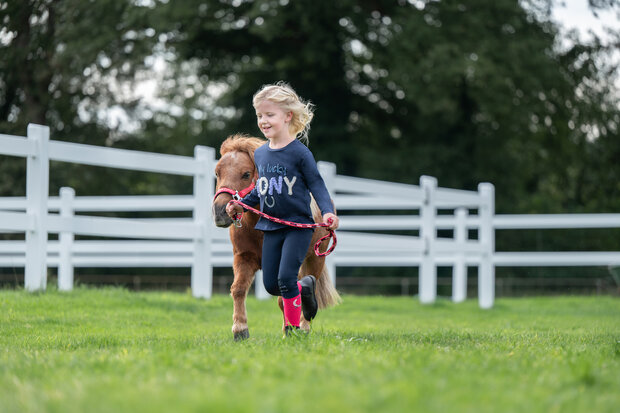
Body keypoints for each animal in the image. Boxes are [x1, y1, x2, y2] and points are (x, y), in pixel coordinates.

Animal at [212, 134, 340, 340]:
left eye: (246, 174)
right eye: (217, 173)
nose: (220, 211)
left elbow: (284, 297)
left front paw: (290, 329)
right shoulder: (244, 258)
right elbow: (238, 289)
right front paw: (240, 330)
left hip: (315, 260)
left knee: (303, 284)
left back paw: (303, 325)